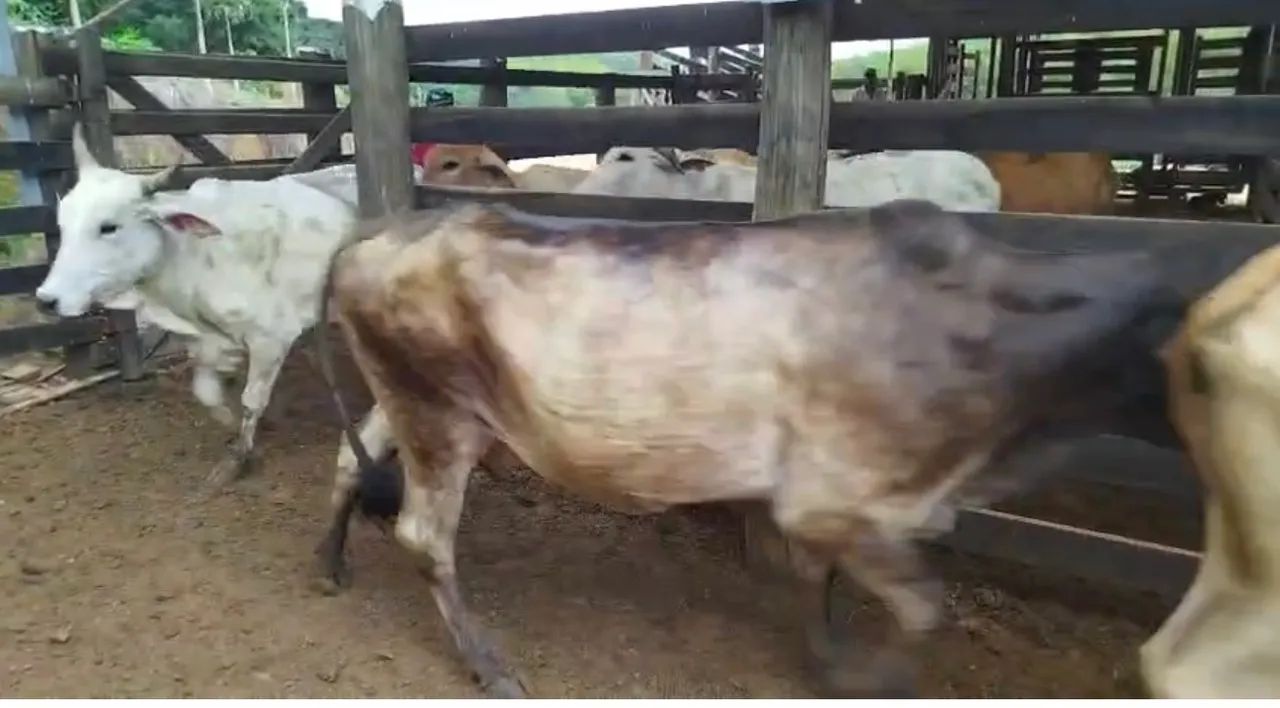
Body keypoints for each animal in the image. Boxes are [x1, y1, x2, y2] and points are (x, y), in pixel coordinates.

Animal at [35, 123, 362, 487]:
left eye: (109, 226)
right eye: (62, 225)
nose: (46, 299)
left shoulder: (271, 338)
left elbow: (252, 399)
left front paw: (238, 457)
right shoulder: (206, 341)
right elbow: (207, 393)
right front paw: (236, 424)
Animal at [314, 197, 1185, 697]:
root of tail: (379, 228)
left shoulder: (830, 506)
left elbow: (817, 583)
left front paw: (827, 662)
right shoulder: (840, 499)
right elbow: (920, 608)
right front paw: (874, 679)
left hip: (409, 400)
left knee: (348, 457)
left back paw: (330, 564)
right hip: (440, 413)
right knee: (424, 535)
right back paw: (489, 665)